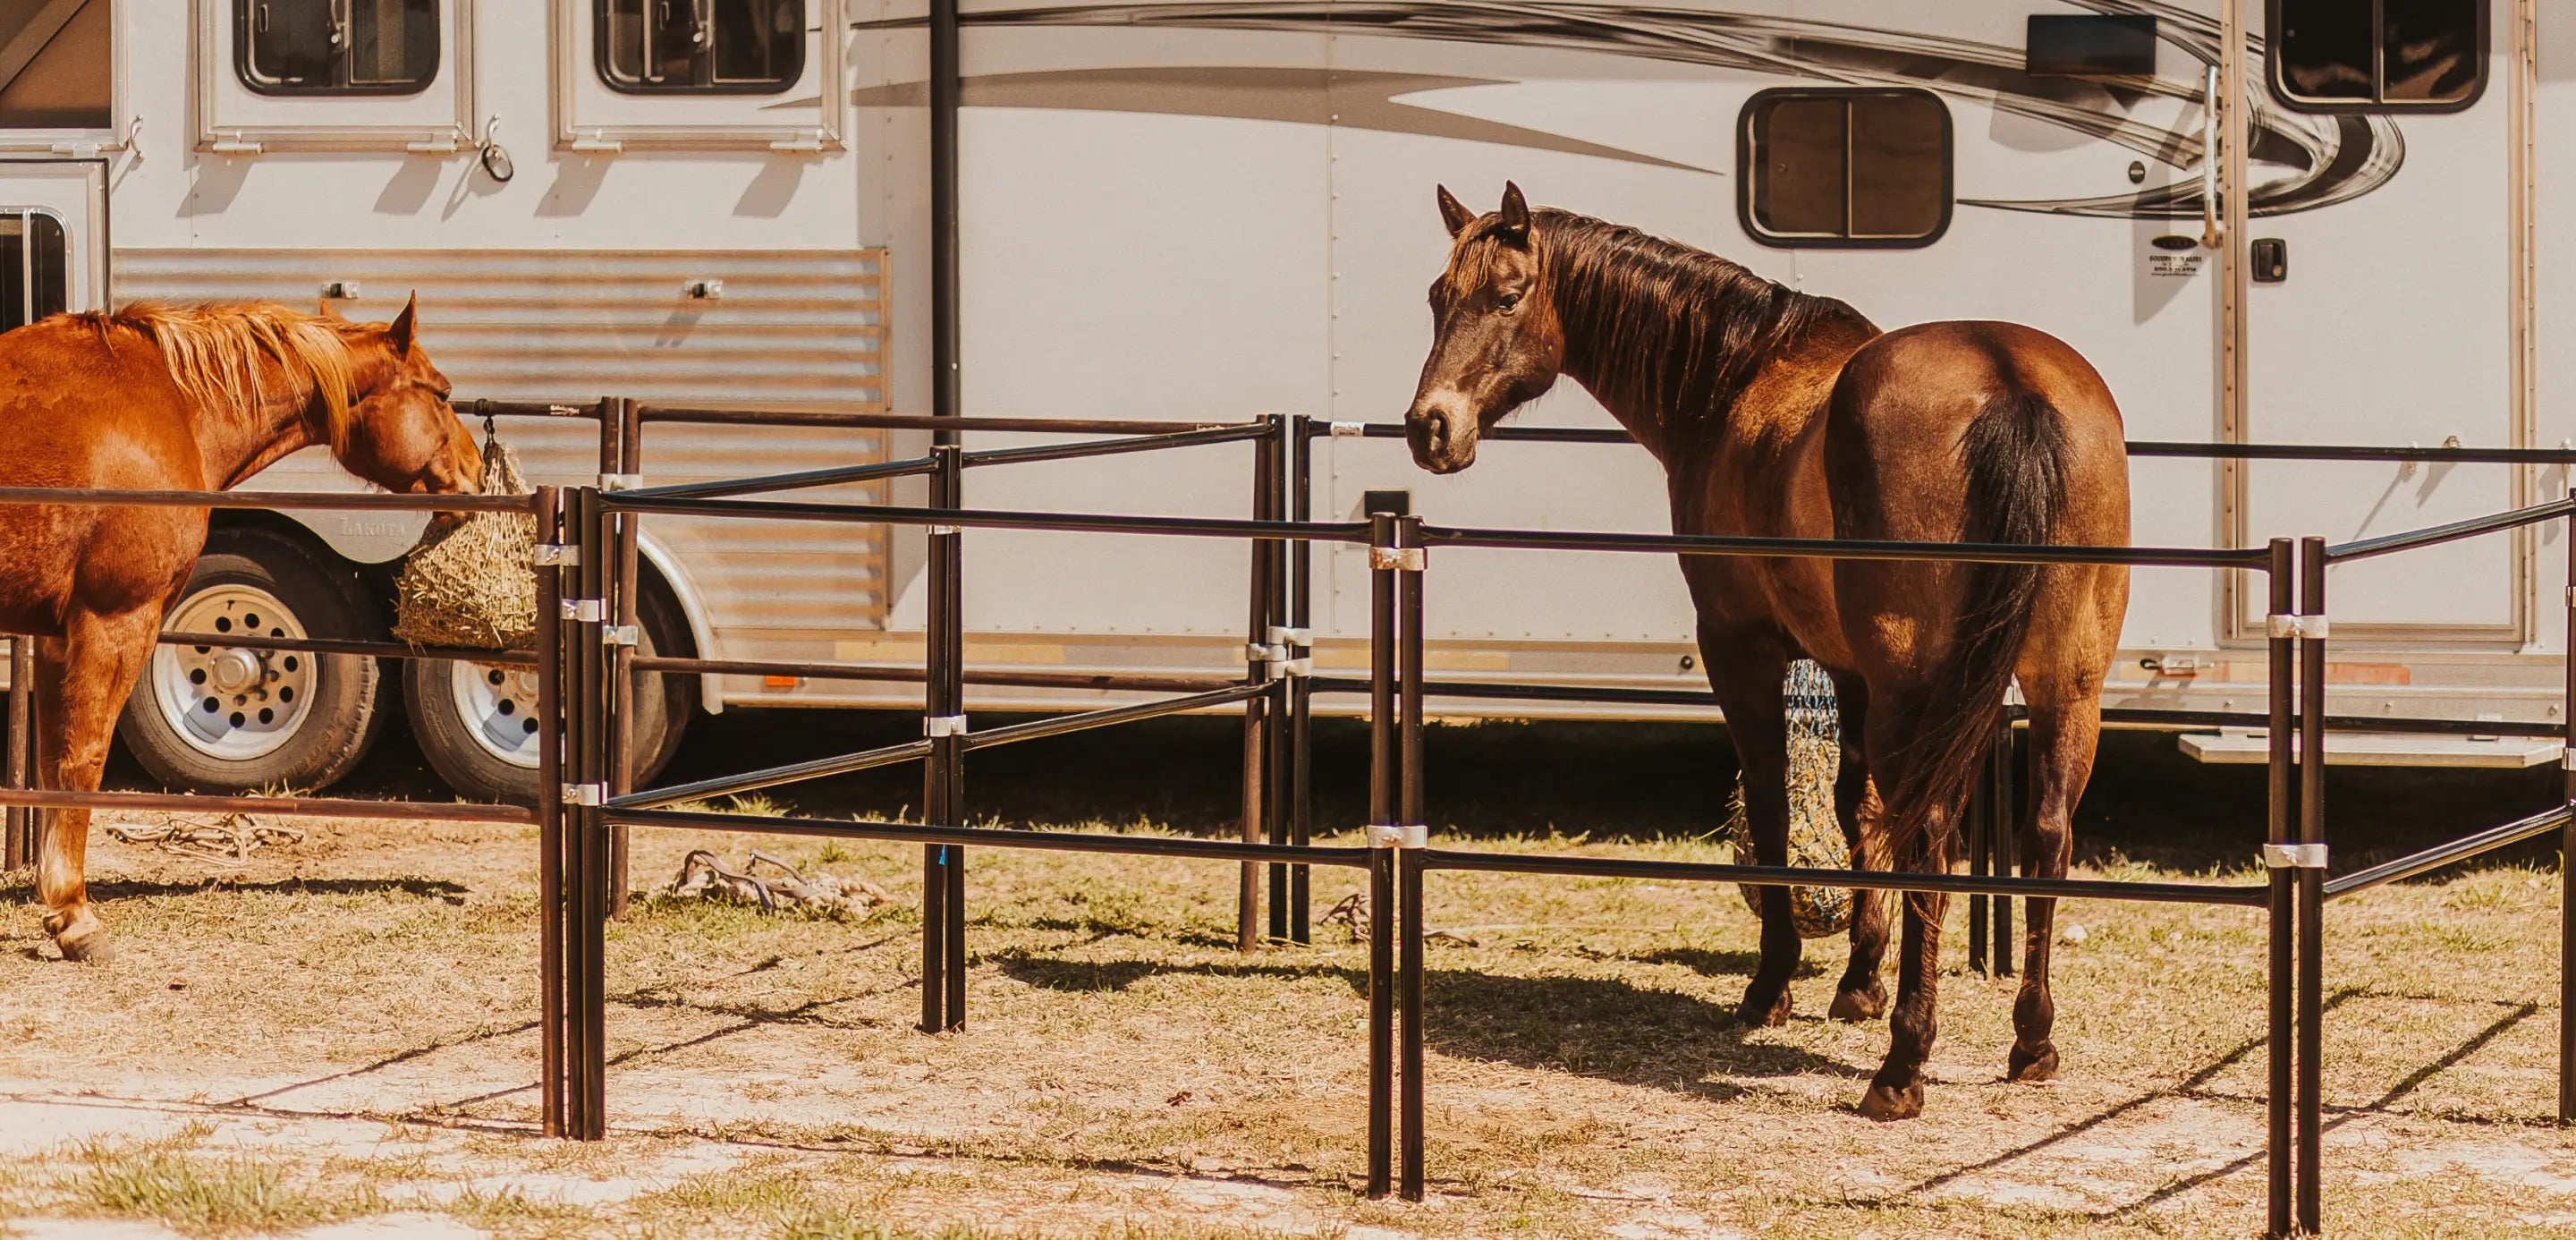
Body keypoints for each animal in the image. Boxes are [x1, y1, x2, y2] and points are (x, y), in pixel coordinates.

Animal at [0, 297, 479, 958]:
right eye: (441, 393)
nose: (476, 473)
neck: (170, 400)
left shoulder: (55, 634)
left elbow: (54, 762)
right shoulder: (114, 621)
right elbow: (84, 759)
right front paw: (74, 915)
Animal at [1411, 185, 2132, 1124]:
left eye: (1505, 297)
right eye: (1437, 298)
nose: (1430, 428)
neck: (1739, 378)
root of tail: (2010, 380)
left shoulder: (1740, 646)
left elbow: (1773, 804)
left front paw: (1773, 984)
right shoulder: (1851, 674)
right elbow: (1855, 808)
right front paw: (1859, 978)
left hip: (1924, 692)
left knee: (1932, 836)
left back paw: (1903, 1067)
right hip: (2063, 687)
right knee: (2045, 832)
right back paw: (2032, 1039)